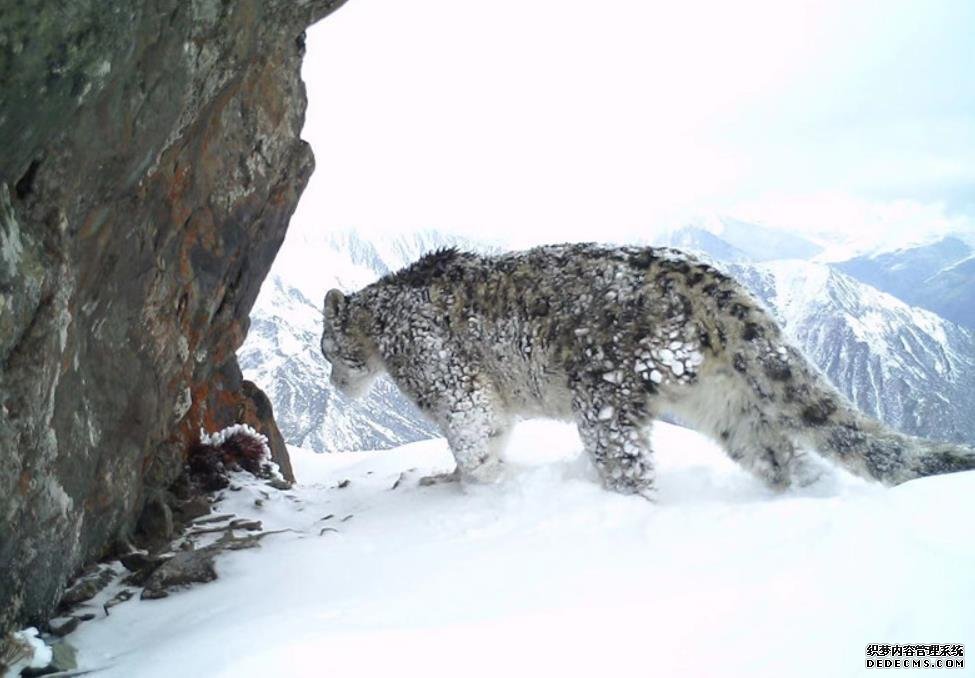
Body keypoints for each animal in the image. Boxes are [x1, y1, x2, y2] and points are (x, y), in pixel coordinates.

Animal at [322, 244, 975, 500]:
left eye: (325, 348)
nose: (329, 380)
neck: (382, 328)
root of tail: (709, 279)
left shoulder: (447, 381)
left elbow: (473, 434)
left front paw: (463, 485)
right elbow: (494, 434)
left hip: (603, 395)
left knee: (628, 462)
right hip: (723, 400)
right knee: (781, 452)